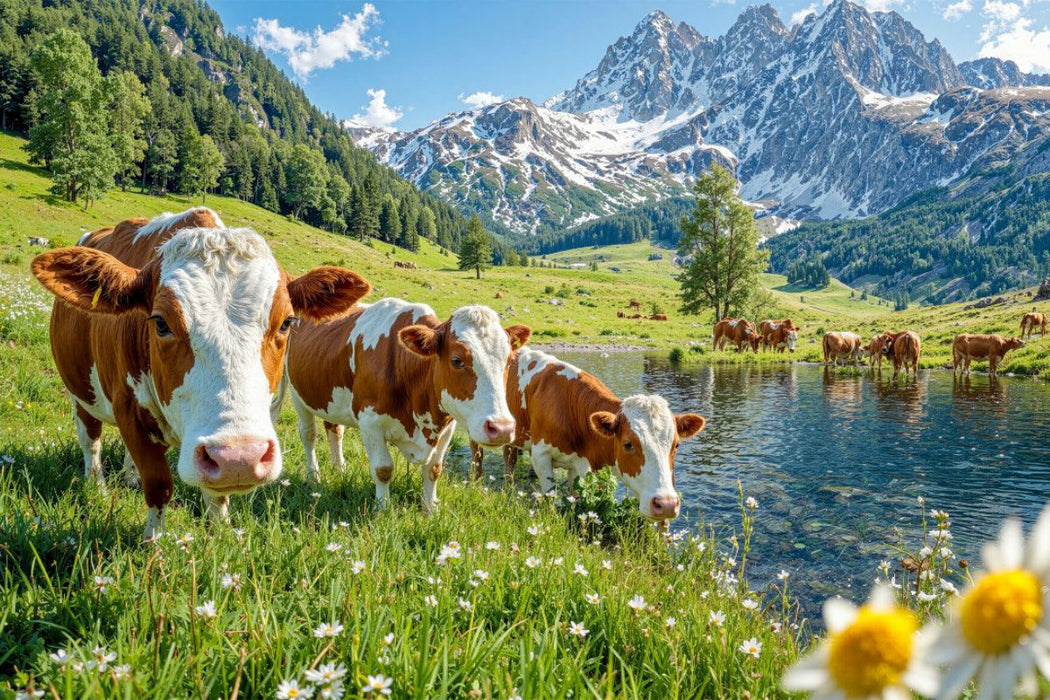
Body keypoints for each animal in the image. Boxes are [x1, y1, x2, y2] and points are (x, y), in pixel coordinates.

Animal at [31, 207, 371, 541]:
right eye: (161, 323)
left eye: (286, 322)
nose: (239, 458)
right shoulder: (128, 408)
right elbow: (158, 483)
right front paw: (152, 541)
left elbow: (217, 495)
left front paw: (220, 534)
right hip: (79, 390)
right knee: (90, 439)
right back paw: (96, 486)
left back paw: (128, 476)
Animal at [284, 298, 531, 510]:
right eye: (456, 360)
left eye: (509, 360)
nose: (502, 428)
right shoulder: (370, 423)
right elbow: (383, 469)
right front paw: (383, 509)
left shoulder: (447, 425)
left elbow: (434, 469)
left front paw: (430, 510)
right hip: (298, 394)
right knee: (309, 434)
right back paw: (313, 476)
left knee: (334, 429)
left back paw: (339, 469)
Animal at [473, 347, 705, 521]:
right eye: (628, 444)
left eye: (676, 445)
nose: (666, 504)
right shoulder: (541, 456)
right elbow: (551, 496)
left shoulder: (579, 467)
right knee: (492, 456)